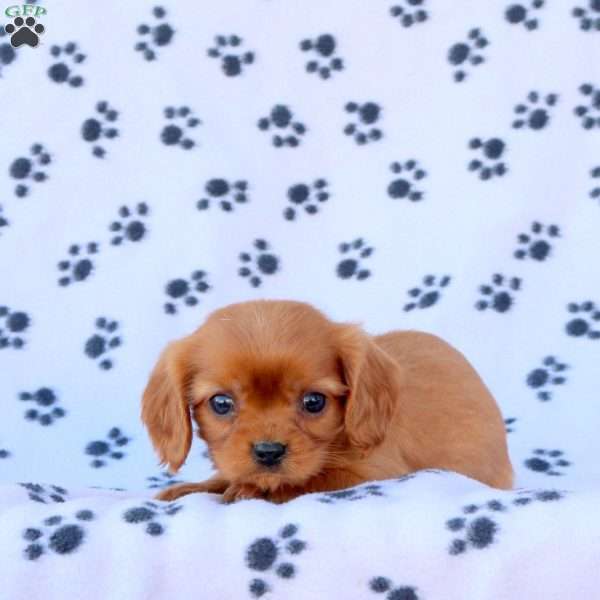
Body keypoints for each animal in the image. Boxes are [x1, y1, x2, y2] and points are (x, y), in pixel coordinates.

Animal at [141, 298, 510, 502]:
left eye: (314, 402)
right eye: (221, 404)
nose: (268, 452)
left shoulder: (377, 473)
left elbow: (312, 480)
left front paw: (252, 490)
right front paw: (194, 487)